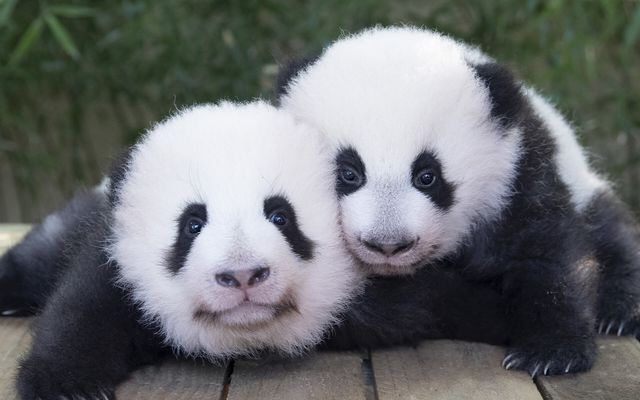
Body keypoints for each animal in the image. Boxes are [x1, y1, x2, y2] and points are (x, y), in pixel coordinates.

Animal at [8, 101, 364, 399]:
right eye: (192, 225)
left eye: (281, 217)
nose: (242, 275)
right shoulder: (118, 266)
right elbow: (83, 314)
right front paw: (67, 389)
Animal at [278, 26, 640, 376]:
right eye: (349, 173)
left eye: (427, 176)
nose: (388, 244)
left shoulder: (517, 173)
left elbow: (548, 250)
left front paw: (552, 352)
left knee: (611, 231)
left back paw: (621, 313)